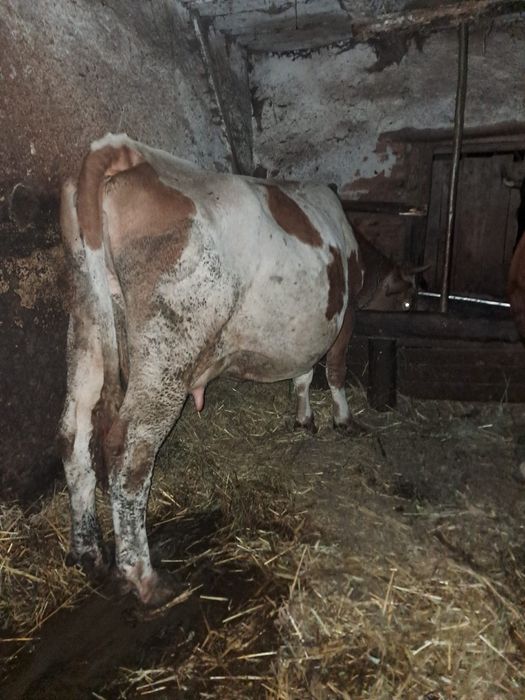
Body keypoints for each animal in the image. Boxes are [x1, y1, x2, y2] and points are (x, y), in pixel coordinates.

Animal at [58, 133, 419, 605]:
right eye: (408, 299)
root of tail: (127, 152)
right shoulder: (346, 315)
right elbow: (335, 369)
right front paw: (343, 420)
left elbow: (304, 371)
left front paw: (304, 417)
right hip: (167, 346)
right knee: (128, 450)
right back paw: (144, 577)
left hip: (86, 326)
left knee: (74, 434)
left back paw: (87, 552)